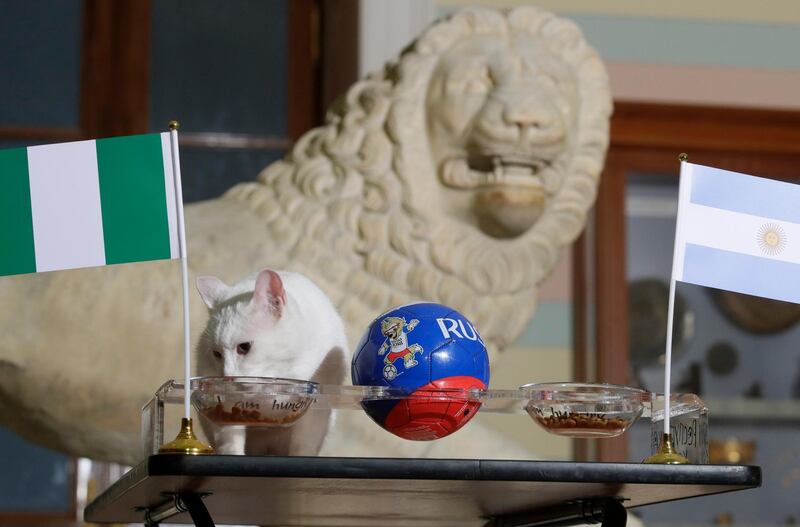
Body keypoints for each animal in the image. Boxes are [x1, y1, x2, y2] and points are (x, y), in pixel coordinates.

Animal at [195, 270, 348, 456]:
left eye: (244, 347)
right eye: (217, 354)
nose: (227, 377)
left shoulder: (317, 407)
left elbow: (304, 443)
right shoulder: (222, 406)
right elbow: (229, 439)